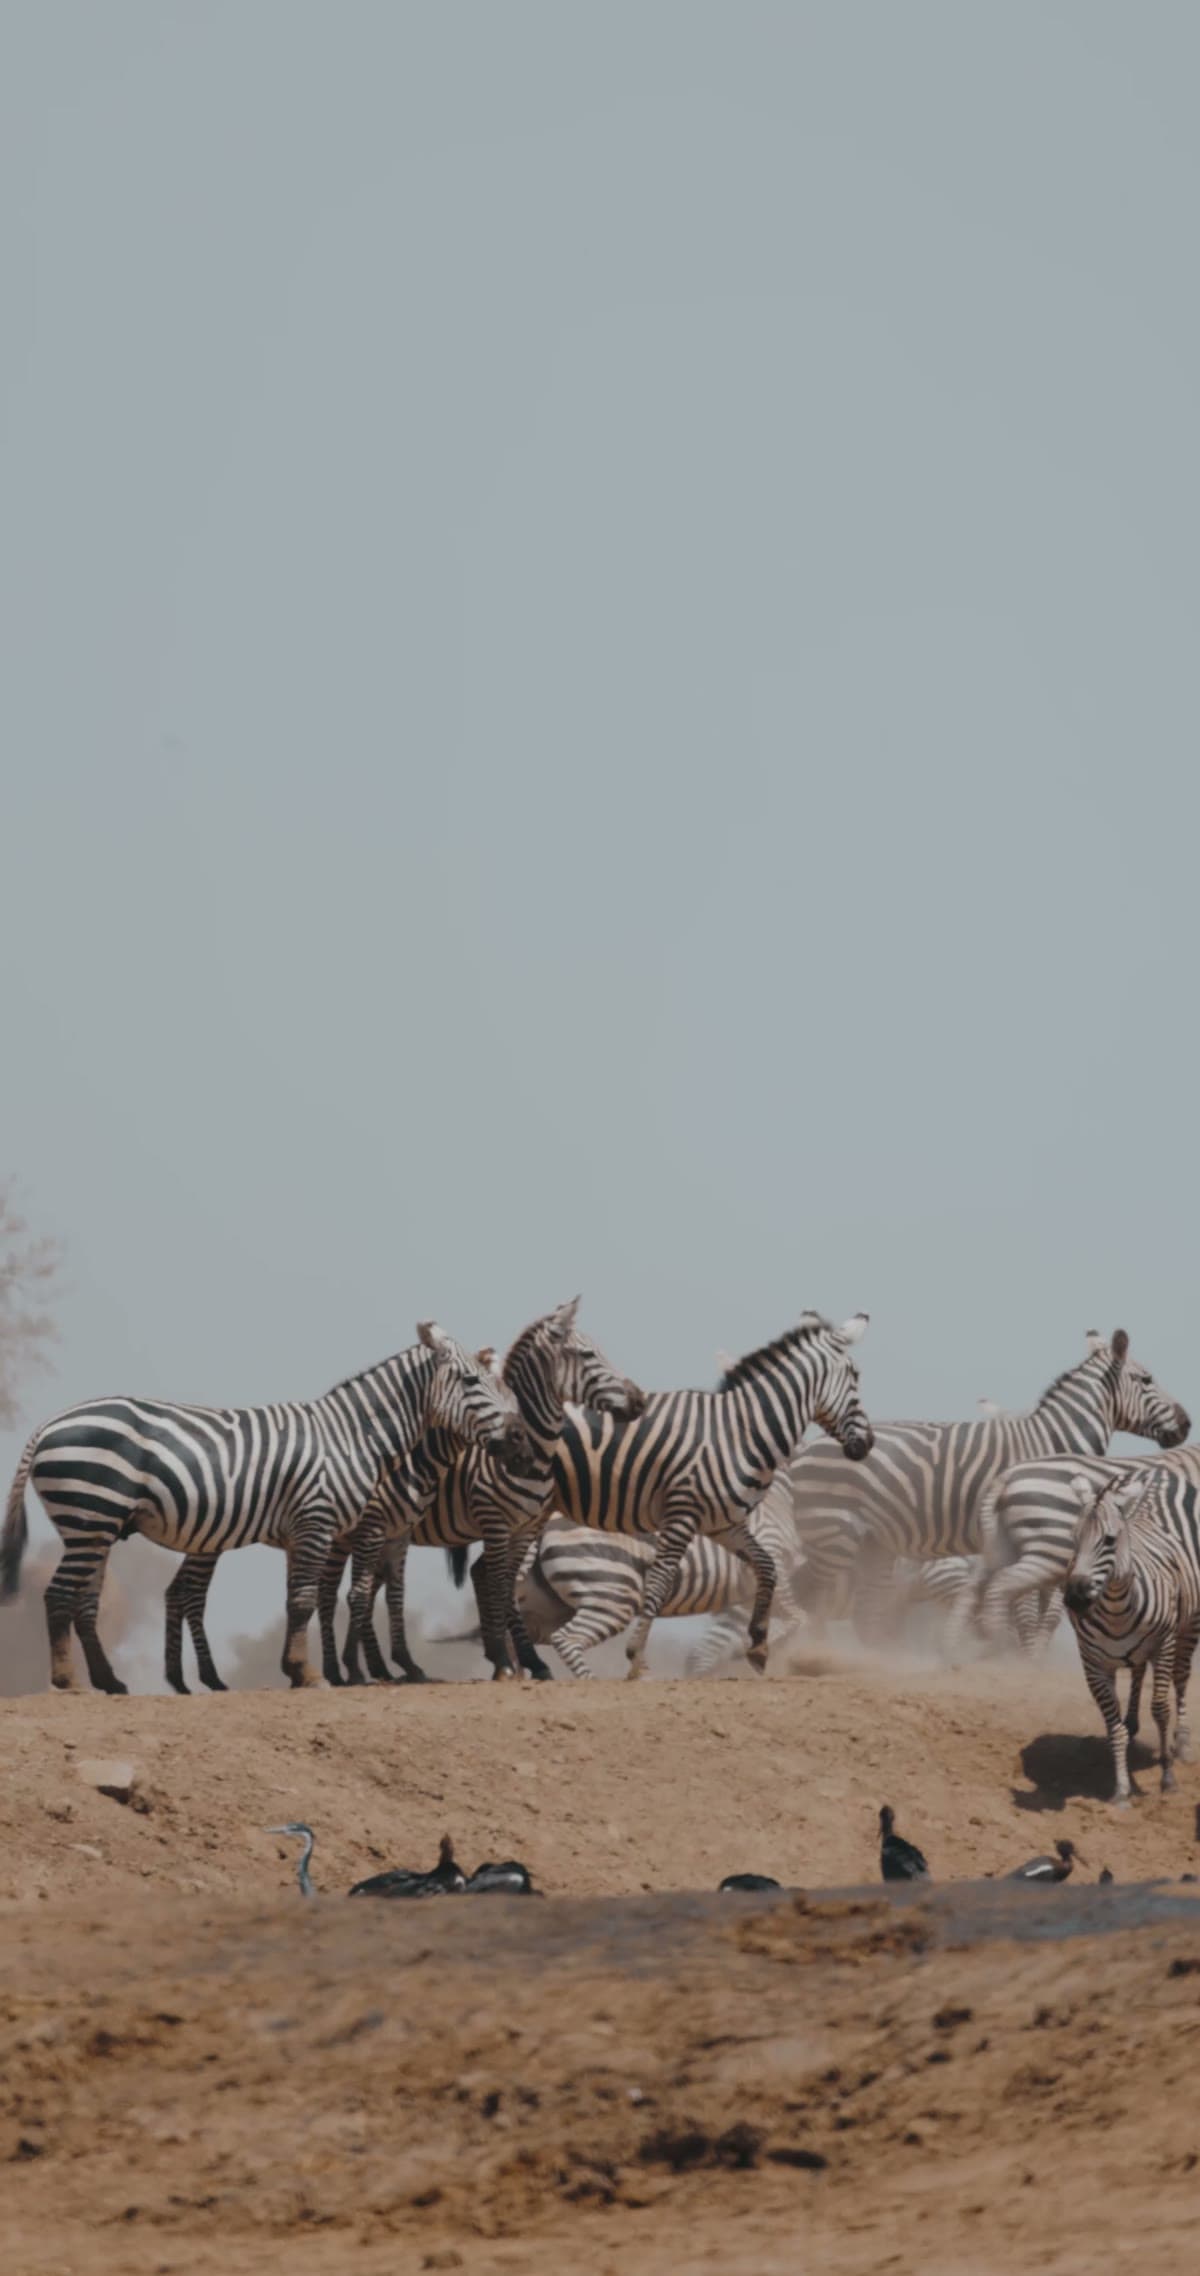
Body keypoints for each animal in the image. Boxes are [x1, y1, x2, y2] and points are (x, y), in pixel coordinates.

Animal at [0, 1324, 526, 1692]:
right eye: (471, 1381)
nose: (519, 1437)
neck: (351, 1437)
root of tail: (49, 1423)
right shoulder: (320, 1520)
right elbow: (306, 1600)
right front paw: (312, 1673)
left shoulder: (309, 1530)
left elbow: (301, 1600)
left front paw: (298, 1670)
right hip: (90, 1517)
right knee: (59, 1595)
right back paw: (69, 1681)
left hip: (96, 1526)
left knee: (85, 1602)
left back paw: (110, 1682)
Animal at [544, 1312, 872, 1678]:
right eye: (855, 1375)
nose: (868, 1443)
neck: (738, 1435)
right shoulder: (684, 1514)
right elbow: (660, 1583)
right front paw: (637, 1657)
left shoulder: (723, 1525)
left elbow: (766, 1568)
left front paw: (758, 1645)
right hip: (604, 1580)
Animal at [784, 1330, 1189, 1640]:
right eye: (1147, 1380)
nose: (1186, 1424)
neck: (1052, 1439)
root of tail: (806, 1450)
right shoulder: (1038, 1542)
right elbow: (1030, 1611)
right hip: (833, 1533)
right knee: (805, 1591)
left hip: (869, 1542)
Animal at [1062, 1470, 1200, 1804]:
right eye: (1073, 1538)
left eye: (1109, 1540)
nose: (1074, 1598)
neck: (1116, 1611)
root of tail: (1159, 1471)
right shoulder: (1093, 1663)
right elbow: (1114, 1728)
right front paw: (1121, 1790)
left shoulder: (1163, 1645)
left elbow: (1161, 1711)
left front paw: (1168, 1778)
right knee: (1137, 1671)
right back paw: (1133, 1722)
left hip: (1189, 1626)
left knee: (1181, 1677)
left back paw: (1183, 1743)